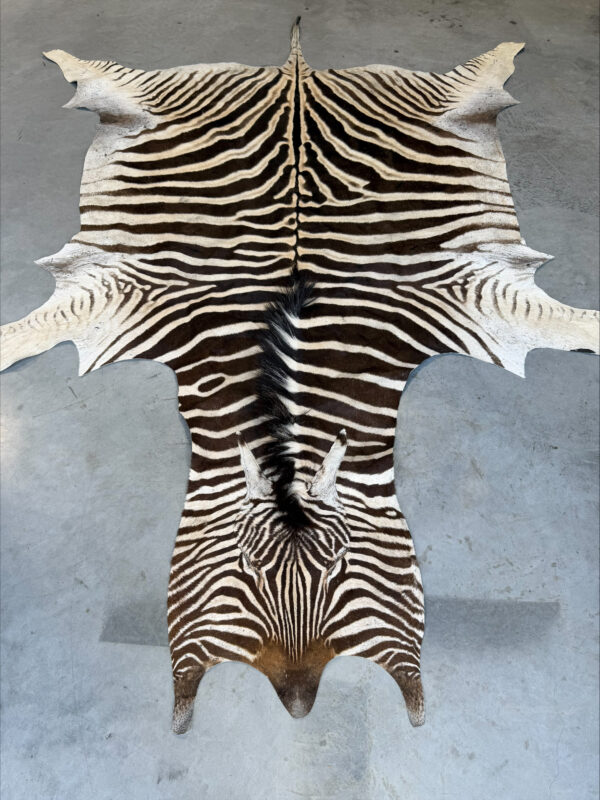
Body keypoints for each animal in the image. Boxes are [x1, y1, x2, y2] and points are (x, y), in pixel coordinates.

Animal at [0, 20, 597, 734]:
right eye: (244, 569)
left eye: (343, 567)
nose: (298, 705)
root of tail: (296, 71)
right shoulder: (119, 289)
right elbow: (31, 328)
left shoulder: (475, 290)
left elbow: (566, 322)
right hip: (155, 102)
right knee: (109, 81)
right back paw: (67, 58)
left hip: (434, 105)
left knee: (474, 83)